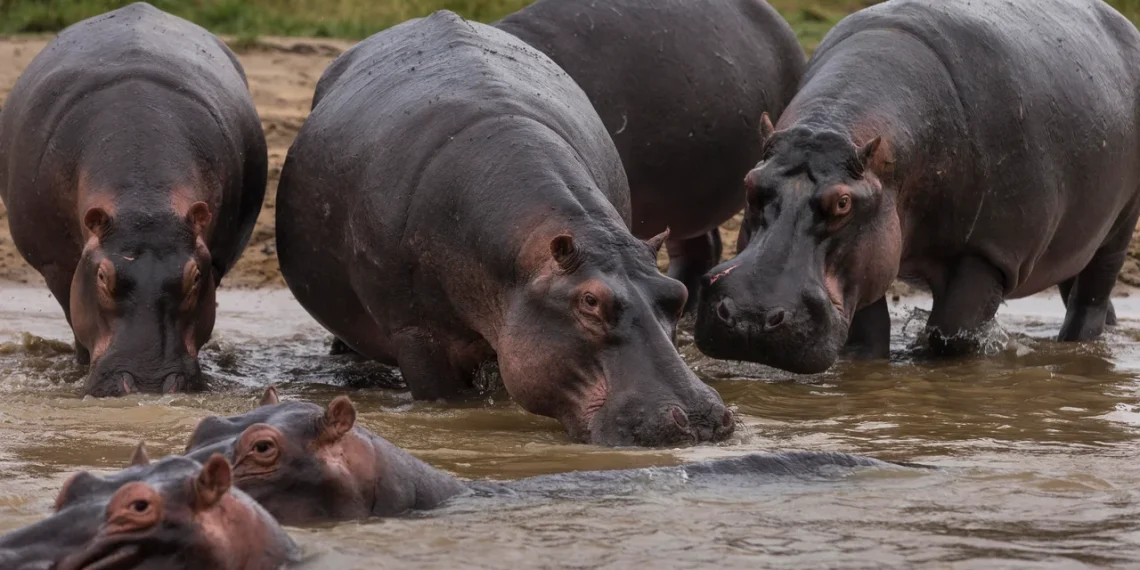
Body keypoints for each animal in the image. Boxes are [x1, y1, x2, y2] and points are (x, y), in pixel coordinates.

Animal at [0, 2, 268, 395]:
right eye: (102, 277)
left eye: (194, 278)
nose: (148, 381)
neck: (144, 199)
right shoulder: (57, 267)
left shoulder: (215, 259)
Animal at [696, 0, 1140, 373]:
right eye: (750, 183)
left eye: (843, 203)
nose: (750, 317)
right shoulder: (871, 255)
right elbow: (868, 333)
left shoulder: (989, 252)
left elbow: (951, 334)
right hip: (1079, 234)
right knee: (1084, 288)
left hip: (1119, 228)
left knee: (1092, 295)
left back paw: (1078, 344)